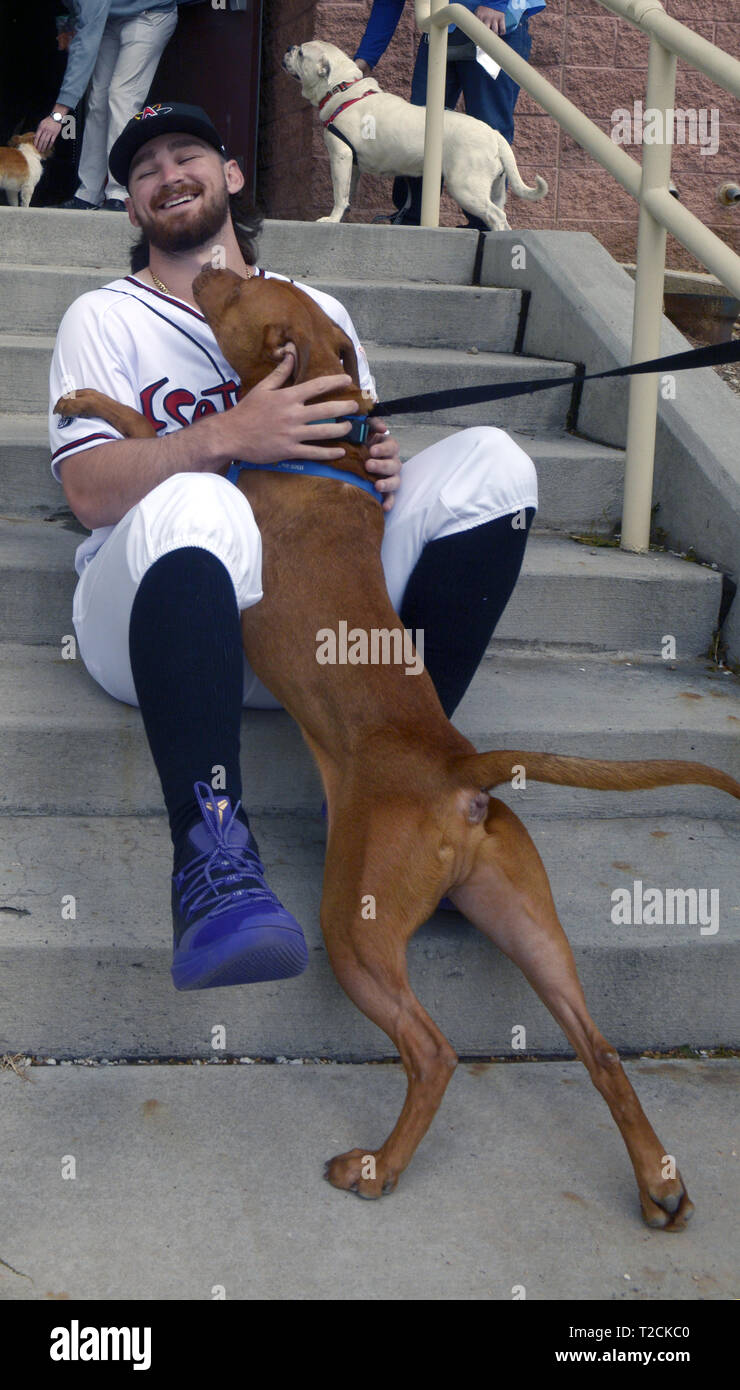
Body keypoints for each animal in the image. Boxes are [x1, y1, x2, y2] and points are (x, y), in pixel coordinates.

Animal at [57, 268, 740, 1228]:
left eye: (243, 288)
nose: (210, 270)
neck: (321, 438)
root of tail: (459, 770)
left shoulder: (209, 463)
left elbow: (155, 426)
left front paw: (88, 400)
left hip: (357, 929)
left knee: (432, 1050)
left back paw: (377, 1168)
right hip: (530, 923)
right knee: (602, 1050)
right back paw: (659, 1183)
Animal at [283, 39, 548, 229]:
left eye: (301, 53)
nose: (288, 48)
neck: (341, 87)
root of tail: (494, 134)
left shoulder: (339, 155)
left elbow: (339, 193)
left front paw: (332, 219)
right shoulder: (352, 163)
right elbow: (348, 191)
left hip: (465, 186)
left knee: (496, 215)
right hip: (495, 187)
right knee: (500, 213)